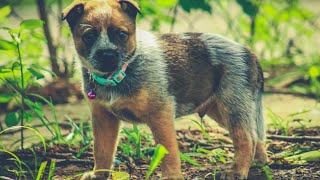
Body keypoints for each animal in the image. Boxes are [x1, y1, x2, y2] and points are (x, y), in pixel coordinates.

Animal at [62, 0, 268, 179]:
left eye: (121, 34)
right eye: (89, 36)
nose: (107, 55)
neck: (119, 75)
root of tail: (249, 53)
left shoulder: (161, 114)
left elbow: (168, 150)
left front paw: (171, 176)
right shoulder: (103, 118)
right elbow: (102, 151)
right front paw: (99, 175)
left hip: (232, 106)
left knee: (246, 139)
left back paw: (237, 171)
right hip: (220, 110)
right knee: (255, 136)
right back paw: (259, 162)